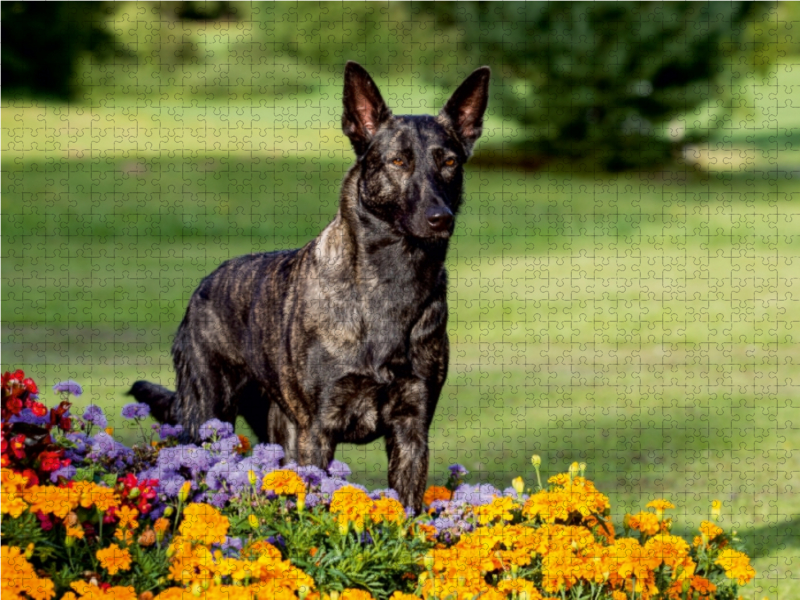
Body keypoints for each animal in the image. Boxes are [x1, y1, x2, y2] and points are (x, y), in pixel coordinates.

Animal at [130, 62, 490, 510]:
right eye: (398, 160)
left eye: (450, 162)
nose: (440, 218)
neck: (389, 282)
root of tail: (204, 286)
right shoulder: (318, 432)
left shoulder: (412, 430)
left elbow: (406, 512)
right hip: (208, 416)